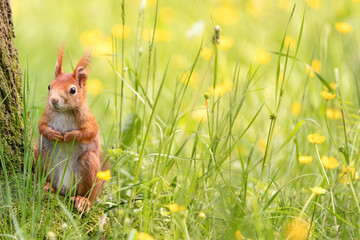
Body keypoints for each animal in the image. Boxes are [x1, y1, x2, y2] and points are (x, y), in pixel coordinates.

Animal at [35, 46, 104, 213]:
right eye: (49, 86)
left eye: (73, 90)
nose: (53, 100)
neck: (64, 112)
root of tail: (65, 188)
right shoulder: (46, 116)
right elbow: (41, 127)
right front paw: (53, 134)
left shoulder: (89, 120)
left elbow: (89, 132)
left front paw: (69, 136)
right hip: (45, 158)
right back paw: (48, 186)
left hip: (89, 165)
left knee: (87, 193)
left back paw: (82, 200)